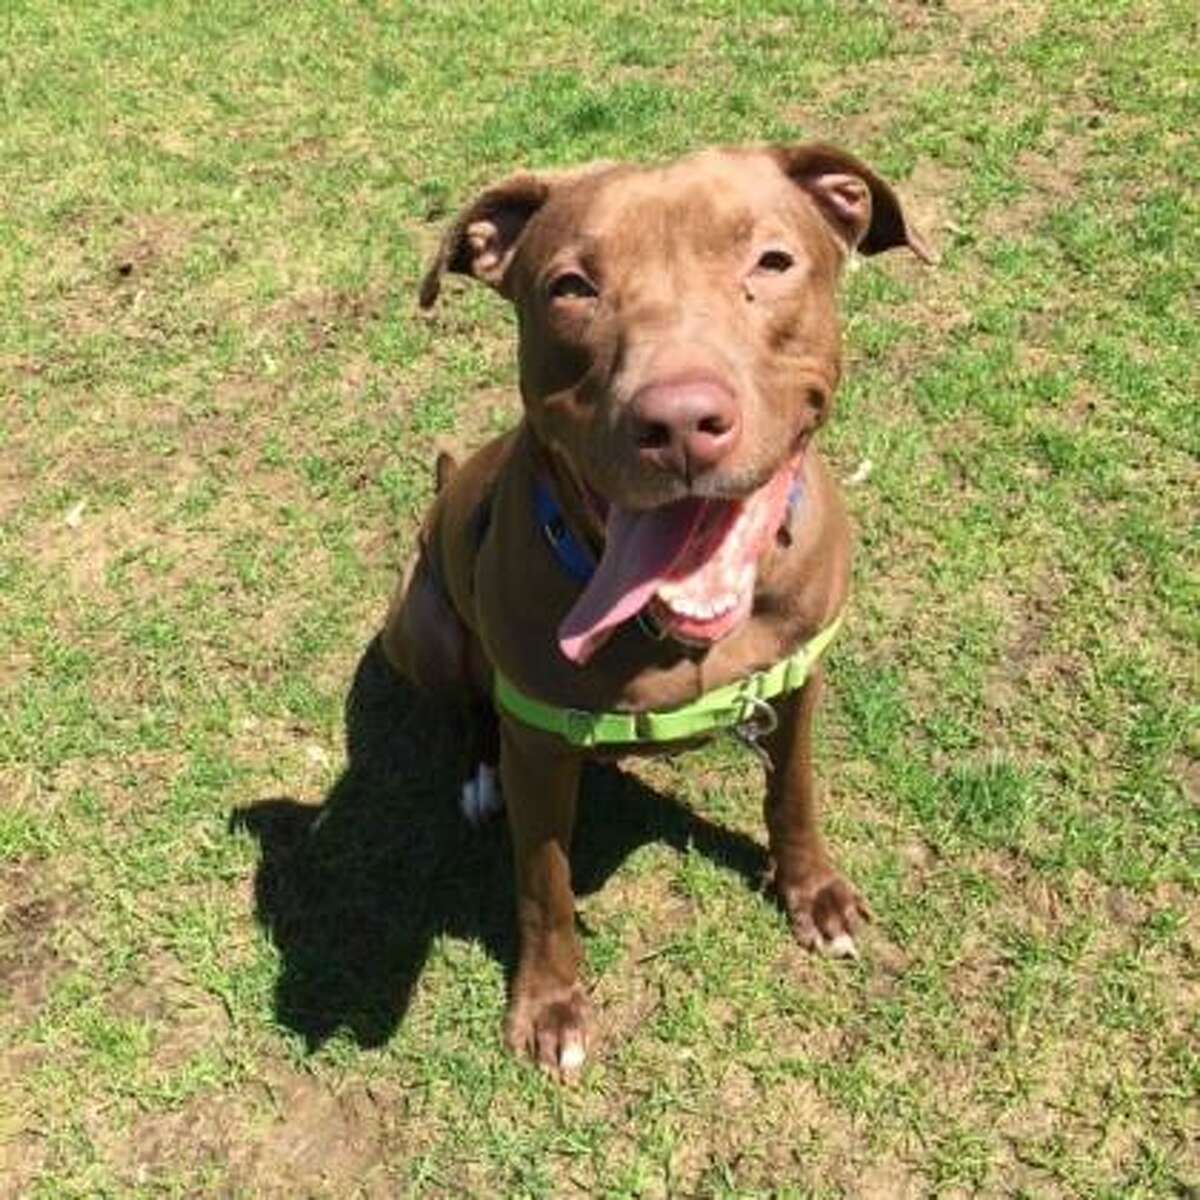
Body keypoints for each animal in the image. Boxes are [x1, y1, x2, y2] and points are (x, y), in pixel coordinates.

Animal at [384, 142, 926, 1080]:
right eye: (570, 287)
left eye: (772, 262)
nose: (678, 422)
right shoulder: (540, 744)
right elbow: (544, 884)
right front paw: (551, 1004)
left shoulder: (799, 680)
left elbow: (794, 794)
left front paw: (812, 893)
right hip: (421, 628)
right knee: (468, 707)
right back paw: (477, 773)